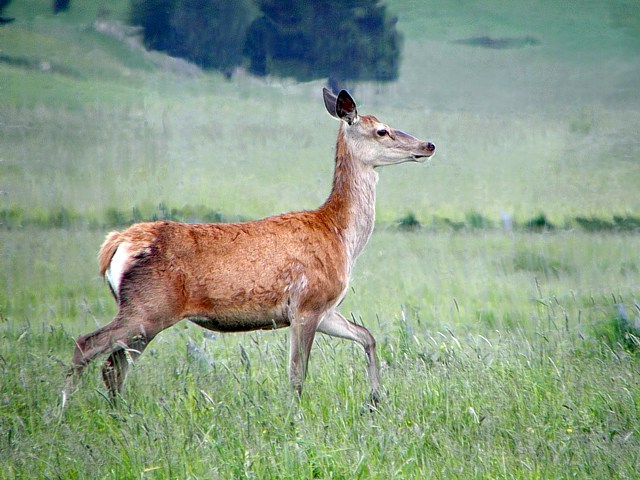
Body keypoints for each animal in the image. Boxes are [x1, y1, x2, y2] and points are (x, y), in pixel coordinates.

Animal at [65, 88, 436, 404]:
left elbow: (367, 336)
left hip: (144, 316)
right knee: (87, 346)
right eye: (382, 131)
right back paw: (64, 411)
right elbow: (297, 375)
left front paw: (375, 399)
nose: (428, 144)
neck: (341, 237)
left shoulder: (326, 308)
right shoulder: (308, 302)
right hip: (148, 307)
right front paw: (296, 419)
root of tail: (115, 245)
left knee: (114, 367)